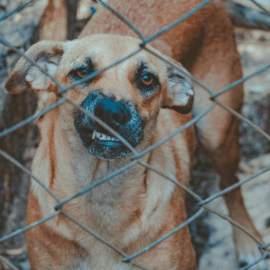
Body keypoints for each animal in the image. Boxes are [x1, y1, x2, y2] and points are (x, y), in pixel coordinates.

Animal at [4, 0, 268, 268]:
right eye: (82, 72)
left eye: (147, 79)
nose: (111, 111)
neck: (101, 191)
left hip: (217, 134)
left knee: (231, 184)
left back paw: (248, 242)